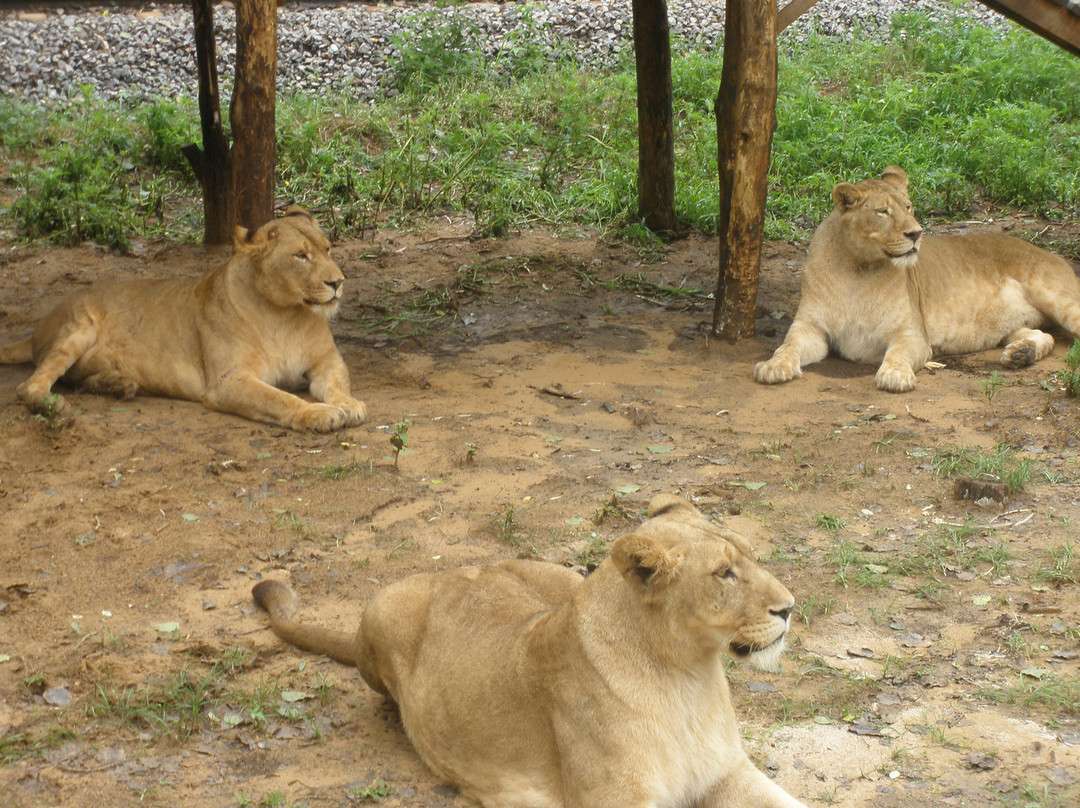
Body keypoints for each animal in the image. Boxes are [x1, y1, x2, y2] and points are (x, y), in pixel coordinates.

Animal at [0, 208, 367, 432]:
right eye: (301, 256)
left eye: (328, 248)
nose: (338, 282)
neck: (284, 314)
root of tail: (39, 326)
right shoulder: (228, 381)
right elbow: (280, 399)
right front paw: (318, 413)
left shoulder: (326, 361)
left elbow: (338, 383)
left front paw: (350, 405)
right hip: (78, 326)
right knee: (30, 385)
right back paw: (53, 406)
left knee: (75, 378)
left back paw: (118, 384)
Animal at [252, 492, 807, 808]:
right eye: (724, 573)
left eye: (751, 556)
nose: (789, 607)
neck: (687, 676)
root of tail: (459, 568)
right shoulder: (614, 799)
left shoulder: (726, 772)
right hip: (381, 609)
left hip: (560, 575)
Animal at [756, 165, 1080, 393]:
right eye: (882, 211)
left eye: (908, 206)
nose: (916, 233)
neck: (857, 271)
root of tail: (1047, 251)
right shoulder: (810, 327)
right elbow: (788, 346)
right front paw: (772, 366)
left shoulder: (913, 334)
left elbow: (899, 353)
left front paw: (895, 375)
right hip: (1012, 323)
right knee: (1043, 334)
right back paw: (1022, 353)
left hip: (1057, 297)